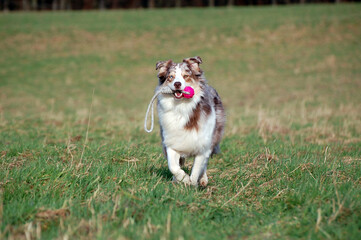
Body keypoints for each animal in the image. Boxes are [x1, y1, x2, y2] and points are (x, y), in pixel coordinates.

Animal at [155, 56, 225, 188]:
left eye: (186, 76)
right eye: (170, 77)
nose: (177, 84)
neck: (181, 108)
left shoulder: (203, 146)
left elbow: (197, 168)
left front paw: (192, 182)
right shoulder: (171, 142)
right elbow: (173, 166)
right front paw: (183, 179)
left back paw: (203, 180)